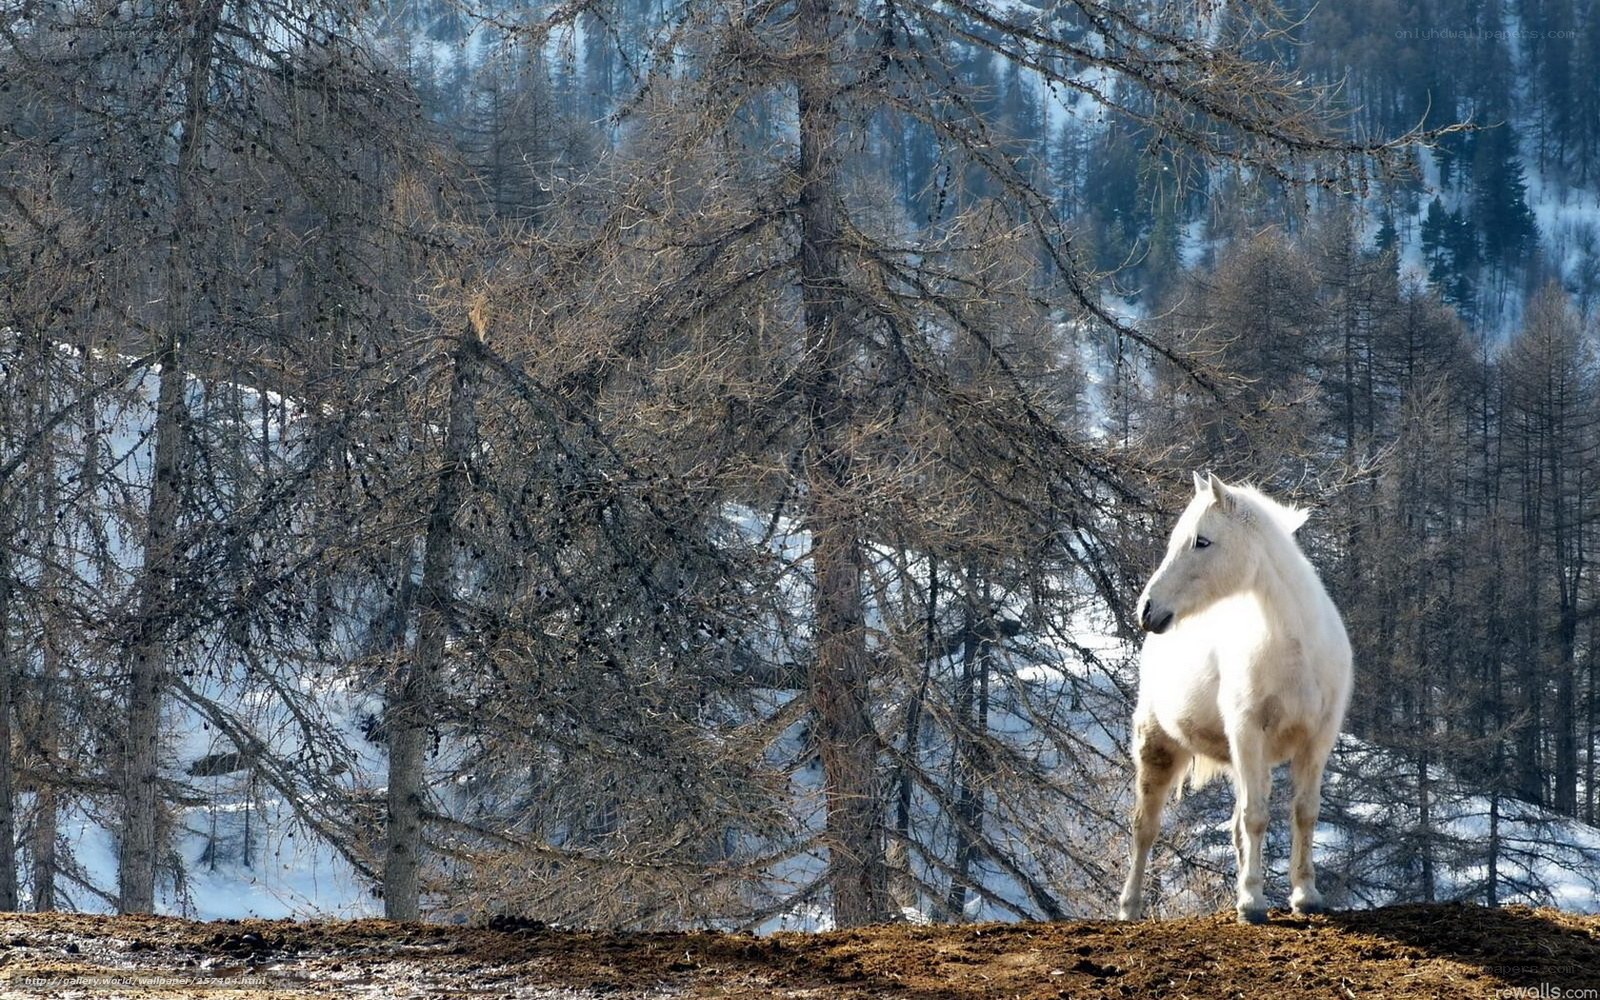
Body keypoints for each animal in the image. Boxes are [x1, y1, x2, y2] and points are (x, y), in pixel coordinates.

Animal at [1118, 472, 1352, 925]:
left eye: (1201, 541)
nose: (1147, 610)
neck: (1294, 646)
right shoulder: (1248, 732)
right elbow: (1256, 817)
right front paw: (1252, 904)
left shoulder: (1317, 740)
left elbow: (1304, 812)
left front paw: (1305, 895)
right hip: (1159, 746)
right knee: (1144, 827)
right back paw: (1129, 908)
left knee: (1236, 825)